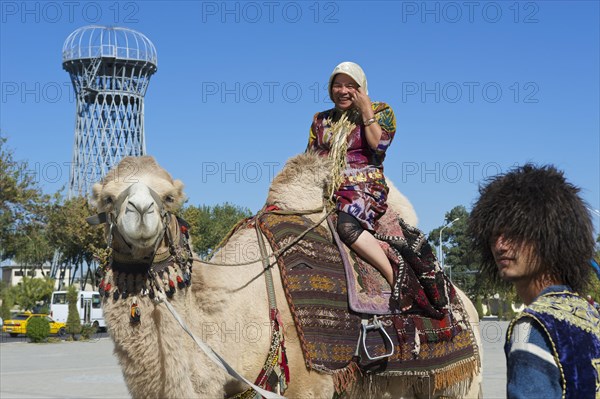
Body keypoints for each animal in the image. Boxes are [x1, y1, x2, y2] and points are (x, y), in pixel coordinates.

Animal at [90, 154, 482, 399]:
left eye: (170, 197)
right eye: (106, 199)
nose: (140, 210)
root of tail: (467, 305)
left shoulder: (310, 385)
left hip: (462, 379)